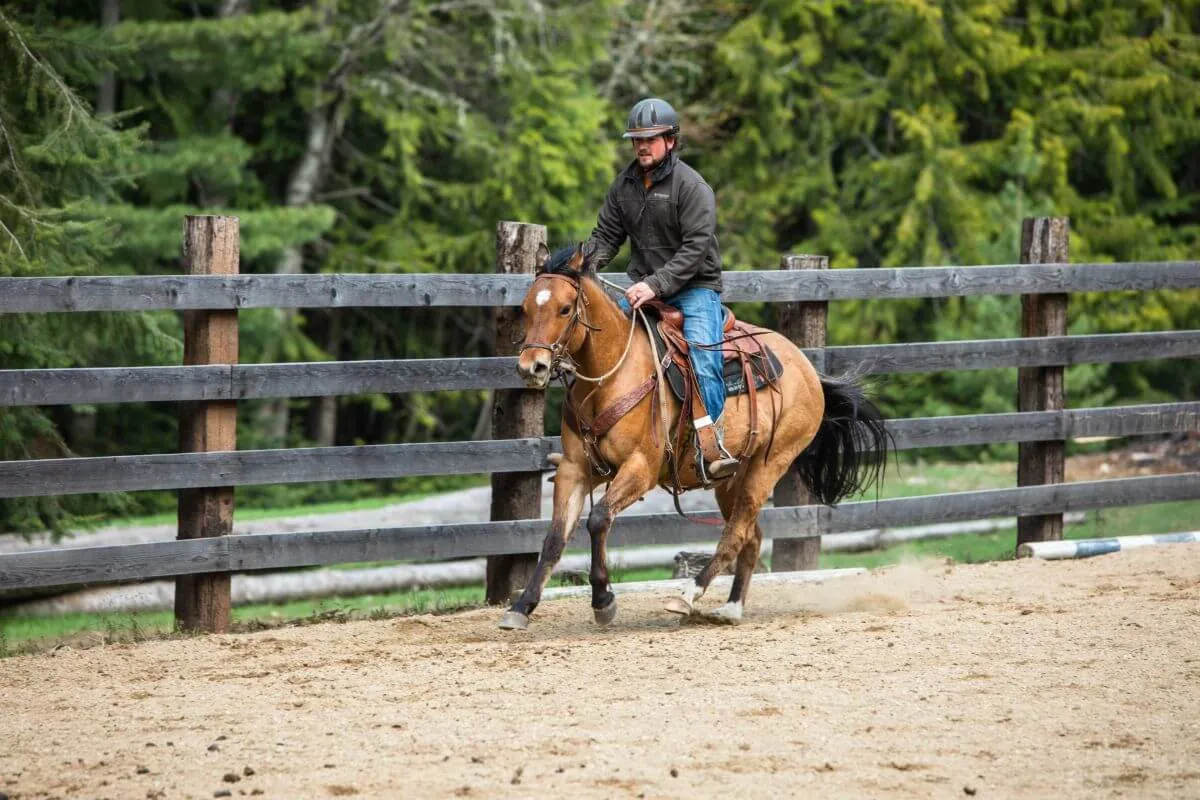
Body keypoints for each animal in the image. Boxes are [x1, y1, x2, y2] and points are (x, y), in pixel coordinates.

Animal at [498, 243, 888, 630]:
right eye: (526, 308)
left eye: (565, 309)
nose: (531, 367)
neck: (611, 376)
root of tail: (806, 368)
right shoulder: (575, 470)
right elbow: (553, 538)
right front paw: (521, 607)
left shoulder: (640, 469)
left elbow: (598, 519)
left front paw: (603, 599)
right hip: (731, 478)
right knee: (751, 536)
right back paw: (730, 609)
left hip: (770, 465)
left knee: (735, 534)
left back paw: (687, 595)